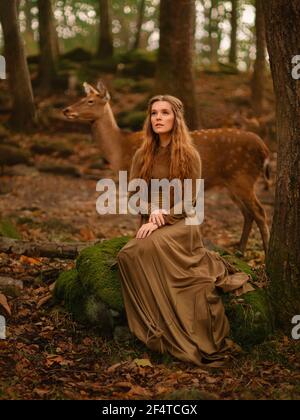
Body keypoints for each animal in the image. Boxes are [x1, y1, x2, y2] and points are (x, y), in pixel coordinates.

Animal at [62, 80, 270, 254]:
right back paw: (240, 251)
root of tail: (265, 149)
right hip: (231, 183)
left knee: (259, 212)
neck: (120, 151)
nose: (66, 110)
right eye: (82, 98)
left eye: (90, 101)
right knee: (248, 213)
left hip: (243, 177)